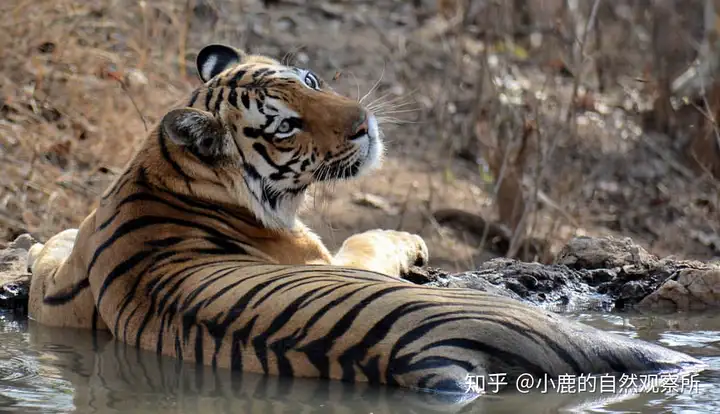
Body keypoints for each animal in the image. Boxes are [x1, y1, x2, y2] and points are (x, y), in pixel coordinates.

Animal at [26, 42, 704, 394]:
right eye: (285, 124)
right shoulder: (334, 257)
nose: (364, 124)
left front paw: (41, 242)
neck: (160, 169)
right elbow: (369, 238)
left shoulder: (63, 299)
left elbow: (54, 257)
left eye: (309, 77)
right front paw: (408, 236)